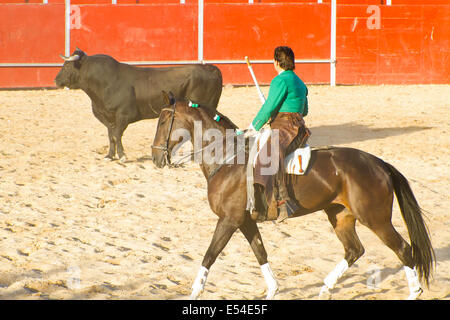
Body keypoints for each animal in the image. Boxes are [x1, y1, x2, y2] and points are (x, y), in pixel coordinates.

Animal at [53, 49, 222, 162]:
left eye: (67, 66)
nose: (56, 80)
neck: (104, 83)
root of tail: (211, 68)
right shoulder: (108, 118)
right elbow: (111, 136)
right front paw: (110, 155)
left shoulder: (123, 116)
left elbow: (117, 135)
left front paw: (122, 156)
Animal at [152, 92, 436, 300]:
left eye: (164, 120)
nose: (155, 157)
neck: (227, 157)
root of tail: (378, 163)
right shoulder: (245, 221)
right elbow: (260, 252)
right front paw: (273, 290)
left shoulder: (229, 220)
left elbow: (210, 255)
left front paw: (194, 292)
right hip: (340, 216)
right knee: (354, 250)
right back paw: (325, 288)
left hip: (376, 219)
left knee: (403, 249)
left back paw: (413, 292)